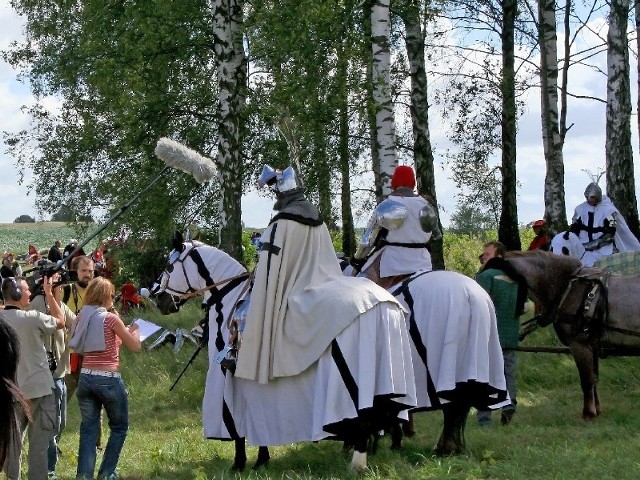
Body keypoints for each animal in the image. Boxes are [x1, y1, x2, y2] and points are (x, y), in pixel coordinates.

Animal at [153, 232, 418, 472]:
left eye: (168, 266)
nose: (160, 302)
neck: (227, 300)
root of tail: (384, 301)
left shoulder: (226, 378)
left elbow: (238, 429)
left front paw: (240, 464)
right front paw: (261, 459)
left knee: (364, 418)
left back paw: (359, 462)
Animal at [504, 249, 640, 418]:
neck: (565, 287)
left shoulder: (579, 344)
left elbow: (587, 380)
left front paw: (588, 413)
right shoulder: (592, 346)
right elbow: (594, 378)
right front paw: (597, 410)